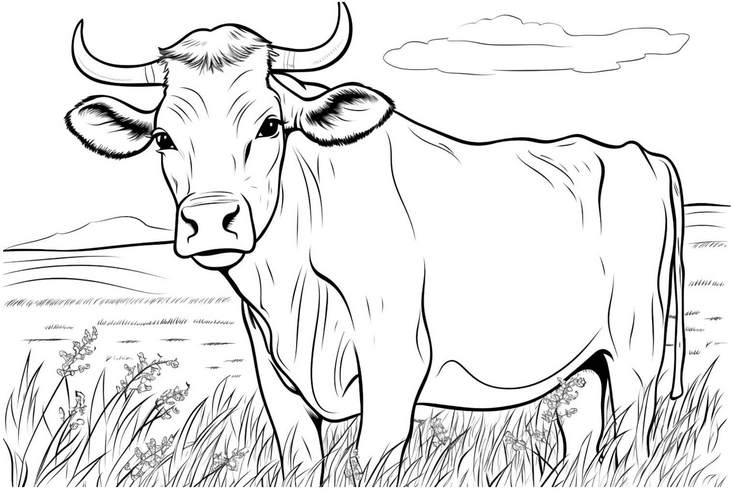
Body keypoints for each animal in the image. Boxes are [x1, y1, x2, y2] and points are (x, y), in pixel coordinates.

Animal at [65, 4, 686, 484]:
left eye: (269, 125)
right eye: (163, 137)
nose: (211, 220)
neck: (289, 287)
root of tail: (637, 154)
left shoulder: (394, 362)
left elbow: (371, 461)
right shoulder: (276, 380)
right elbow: (301, 462)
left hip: (636, 350)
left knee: (630, 439)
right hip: (582, 363)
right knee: (584, 434)